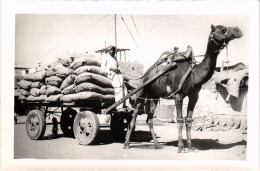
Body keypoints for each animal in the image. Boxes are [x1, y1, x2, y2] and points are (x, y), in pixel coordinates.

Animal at [123, 23, 243, 152]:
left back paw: (157, 145)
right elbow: (180, 119)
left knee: (149, 119)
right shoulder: (178, 95)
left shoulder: (194, 95)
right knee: (134, 116)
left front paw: (190, 146)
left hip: (154, 96)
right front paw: (180, 147)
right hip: (142, 91)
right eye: (222, 29)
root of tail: (146, 74)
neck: (195, 75)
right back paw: (126, 144)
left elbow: (189, 120)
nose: (238, 30)